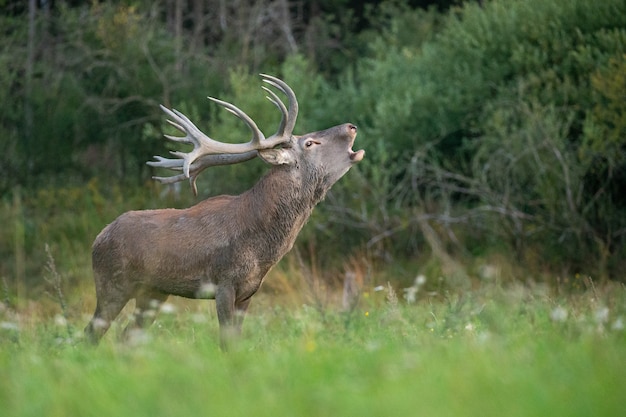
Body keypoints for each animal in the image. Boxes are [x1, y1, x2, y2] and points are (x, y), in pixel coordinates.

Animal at [85, 73, 364, 346]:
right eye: (310, 143)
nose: (351, 126)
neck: (262, 249)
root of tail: (98, 238)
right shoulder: (223, 283)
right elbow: (226, 342)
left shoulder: (249, 291)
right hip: (112, 284)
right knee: (91, 333)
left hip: (152, 293)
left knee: (126, 337)